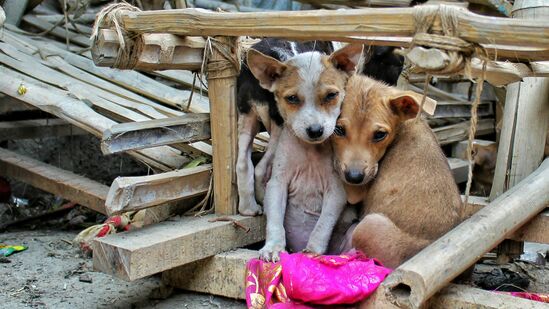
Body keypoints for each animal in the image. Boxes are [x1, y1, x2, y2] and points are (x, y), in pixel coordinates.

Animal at [246, 44, 362, 260]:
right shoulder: (277, 184)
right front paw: (273, 247)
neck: (310, 150)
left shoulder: (336, 191)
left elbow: (322, 225)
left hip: (354, 232)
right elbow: (274, 221)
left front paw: (313, 251)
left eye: (331, 95)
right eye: (292, 98)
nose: (315, 130)